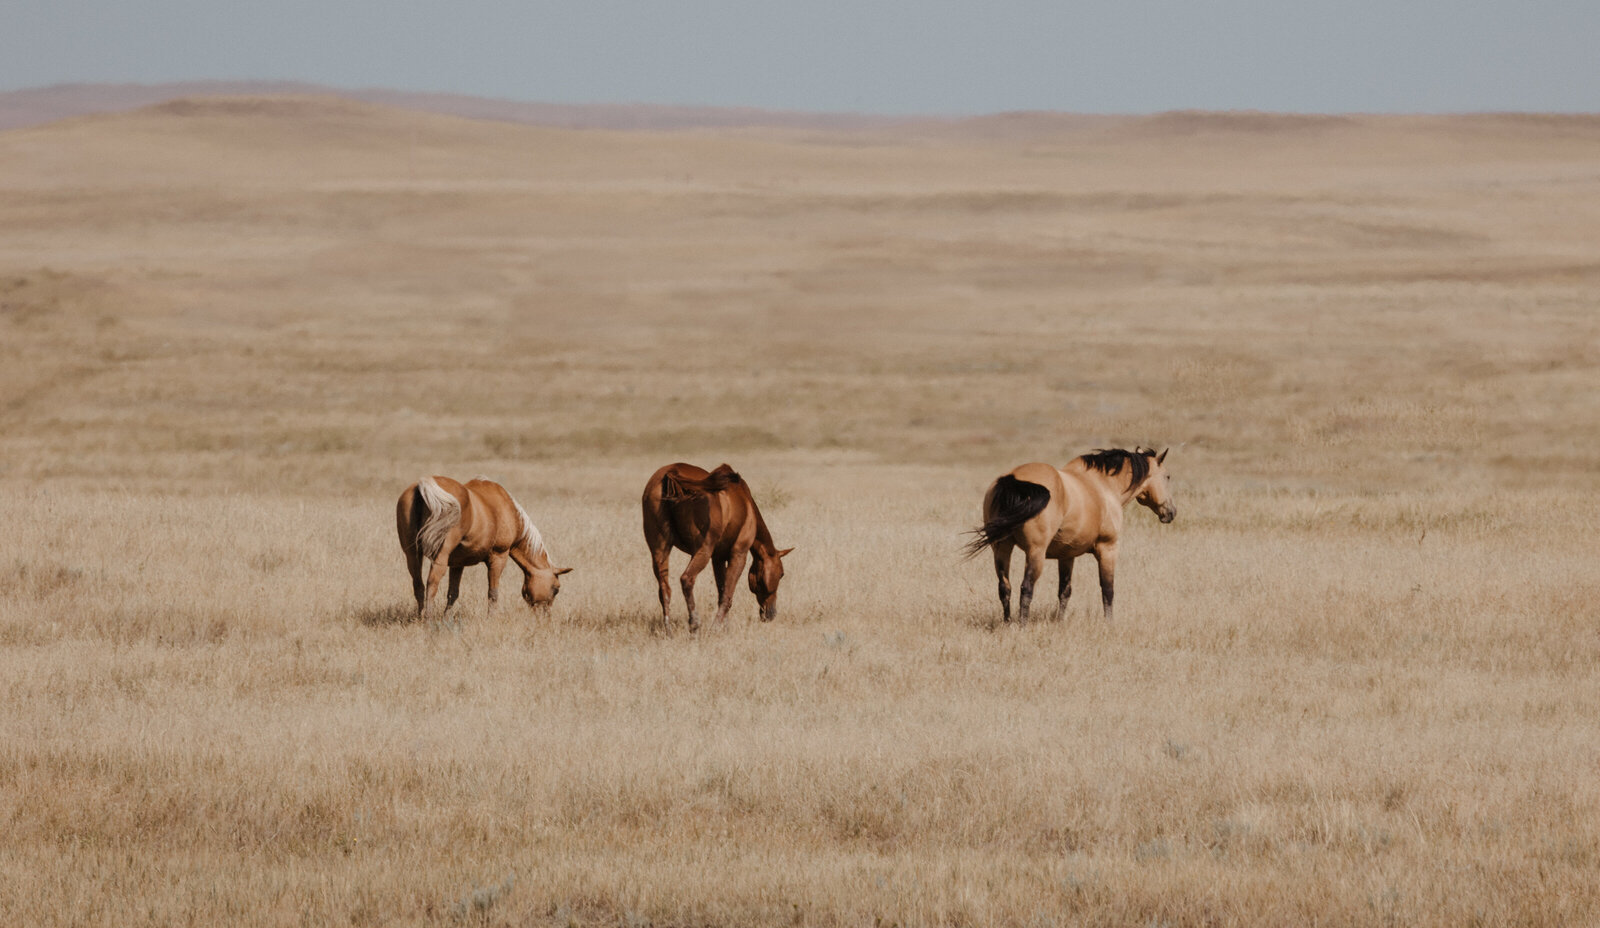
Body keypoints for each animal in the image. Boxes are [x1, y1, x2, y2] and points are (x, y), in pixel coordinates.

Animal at [396, 480, 572, 617]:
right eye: (556, 589)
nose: (545, 616)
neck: (508, 509)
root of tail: (423, 486)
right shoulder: (499, 556)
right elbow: (492, 592)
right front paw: (491, 618)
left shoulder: (457, 563)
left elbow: (453, 593)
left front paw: (447, 618)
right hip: (441, 555)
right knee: (432, 581)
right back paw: (429, 618)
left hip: (412, 555)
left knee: (418, 585)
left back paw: (420, 616)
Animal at [643, 460, 793, 630]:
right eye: (781, 574)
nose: (771, 614)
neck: (746, 506)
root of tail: (671, 473)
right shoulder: (738, 555)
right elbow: (727, 595)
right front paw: (716, 627)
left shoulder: (718, 558)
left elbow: (721, 591)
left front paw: (724, 626)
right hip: (703, 550)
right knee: (687, 579)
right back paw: (694, 623)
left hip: (659, 550)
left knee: (664, 589)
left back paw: (668, 629)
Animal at [960, 448, 1177, 624]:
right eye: (1167, 476)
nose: (1171, 512)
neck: (1104, 486)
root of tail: (1013, 479)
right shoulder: (1108, 549)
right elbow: (1108, 589)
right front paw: (1109, 623)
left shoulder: (1067, 556)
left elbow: (1064, 591)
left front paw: (1060, 621)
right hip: (1035, 552)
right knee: (1026, 588)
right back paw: (1022, 625)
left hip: (1001, 548)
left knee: (1005, 587)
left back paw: (1008, 622)